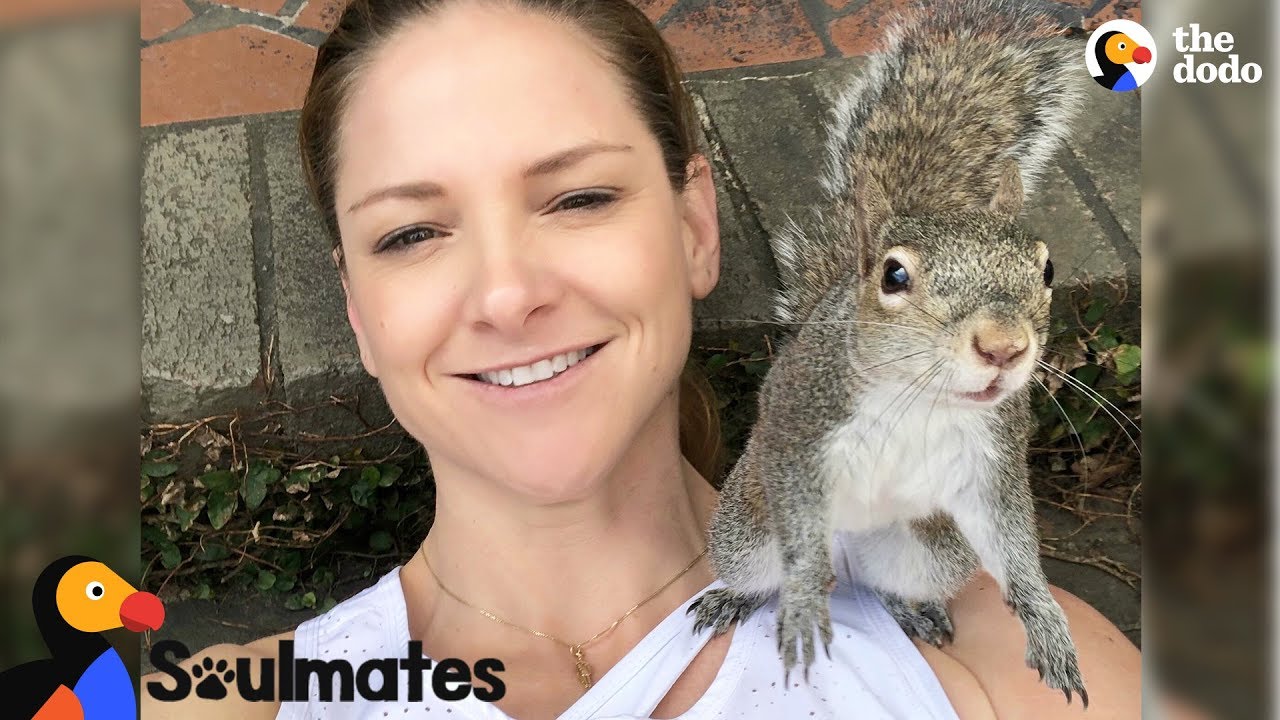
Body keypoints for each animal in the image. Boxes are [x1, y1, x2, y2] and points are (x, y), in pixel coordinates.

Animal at [690, 0, 1089, 706]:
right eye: (893, 275)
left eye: (1046, 270)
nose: (1004, 347)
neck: (918, 395)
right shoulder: (800, 423)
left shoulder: (992, 457)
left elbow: (1010, 536)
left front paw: (1044, 620)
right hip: (746, 527)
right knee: (759, 569)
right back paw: (736, 597)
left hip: (931, 550)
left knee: (895, 581)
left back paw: (912, 609)